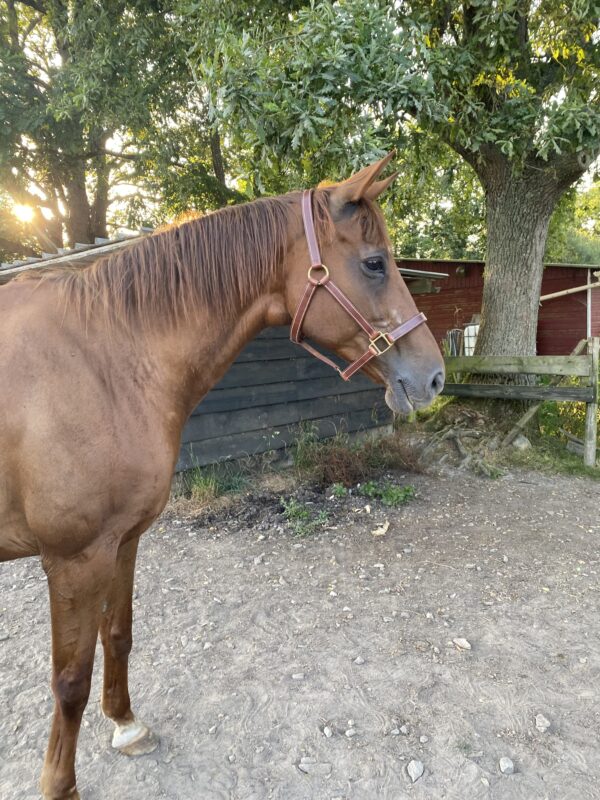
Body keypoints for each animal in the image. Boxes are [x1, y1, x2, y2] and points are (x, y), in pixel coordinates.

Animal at [0, 153, 440, 796]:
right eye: (375, 263)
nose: (434, 377)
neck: (102, 360)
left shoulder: (121, 542)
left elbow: (119, 636)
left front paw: (126, 724)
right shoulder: (73, 559)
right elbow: (69, 680)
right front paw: (60, 784)